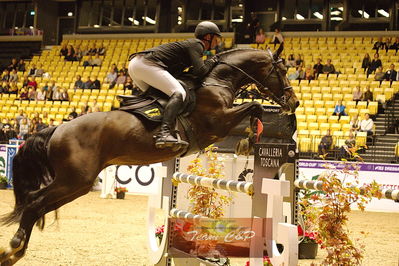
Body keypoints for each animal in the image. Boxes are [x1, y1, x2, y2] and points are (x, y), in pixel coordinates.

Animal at [0, 45, 300, 264]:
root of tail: (57, 129)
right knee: (34, 202)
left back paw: (15, 252)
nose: (295, 102)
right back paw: (12, 248)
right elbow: (254, 107)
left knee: (38, 205)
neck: (218, 81)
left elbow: (253, 109)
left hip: (78, 184)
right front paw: (247, 142)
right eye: (282, 71)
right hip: (73, 179)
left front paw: (249, 140)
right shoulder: (218, 122)